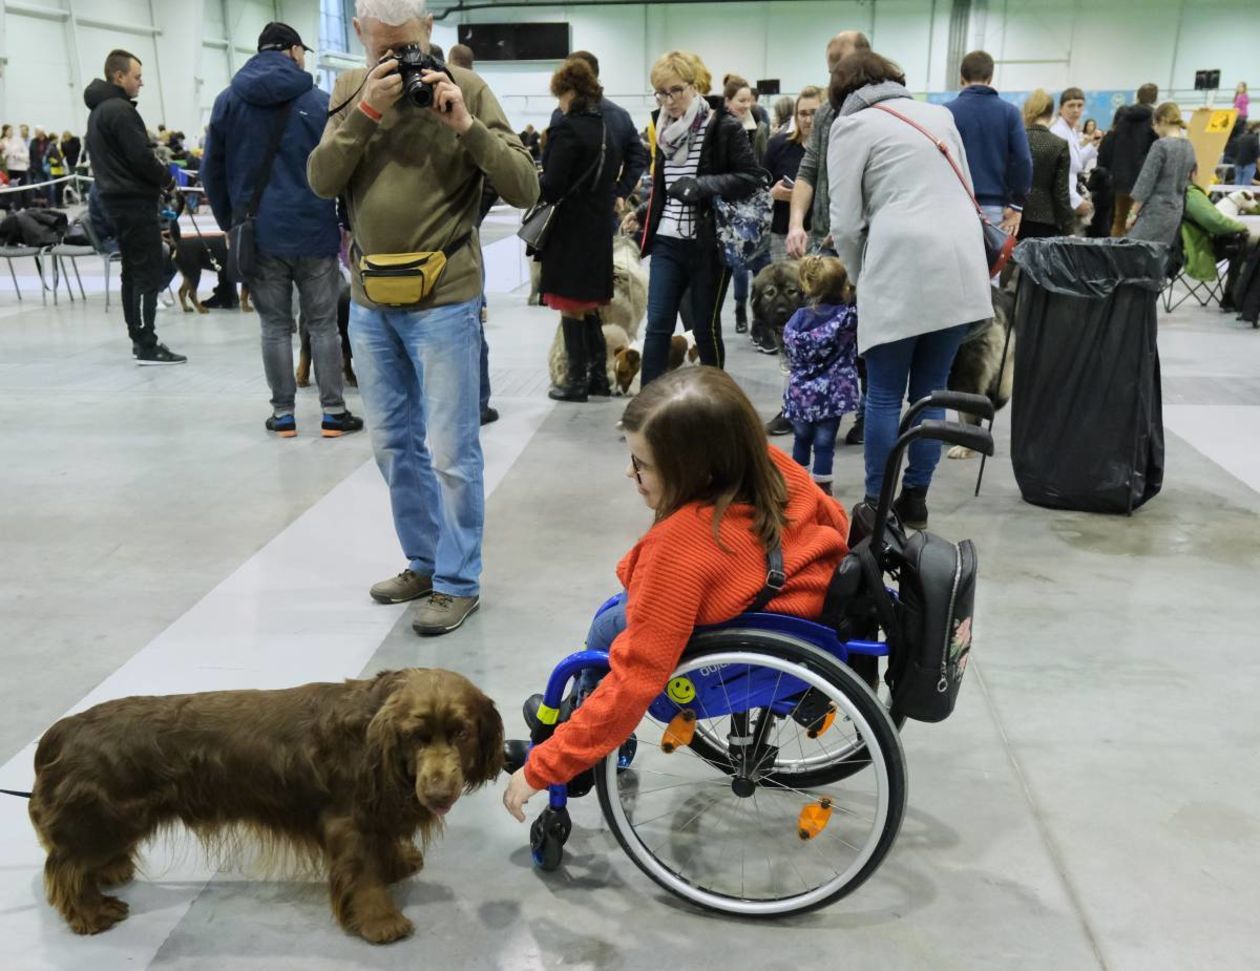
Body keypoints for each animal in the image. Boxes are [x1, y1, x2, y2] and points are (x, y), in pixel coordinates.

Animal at [27, 670, 504, 942]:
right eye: (415, 737)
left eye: (461, 733)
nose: (439, 794)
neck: (370, 731)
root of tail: (61, 732)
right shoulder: (347, 823)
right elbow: (364, 876)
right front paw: (381, 923)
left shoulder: (375, 815)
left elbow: (383, 848)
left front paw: (399, 862)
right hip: (104, 820)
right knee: (64, 867)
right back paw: (91, 913)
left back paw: (111, 871)